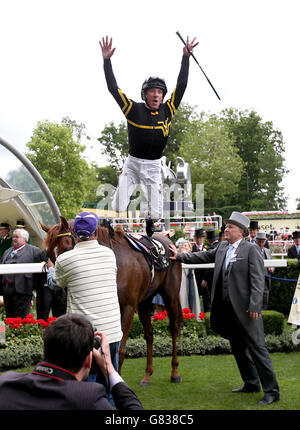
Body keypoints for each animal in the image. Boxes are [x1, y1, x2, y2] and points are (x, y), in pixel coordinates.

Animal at [41, 217, 183, 384]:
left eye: (68, 248)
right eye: (48, 254)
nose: (59, 290)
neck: (116, 263)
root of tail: (167, 240)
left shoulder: (128, 308)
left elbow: (119, 352)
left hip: (170, 295)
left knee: (173, 328)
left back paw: (175, 372)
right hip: (144, 302)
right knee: (149, 333)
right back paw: (147, 374)